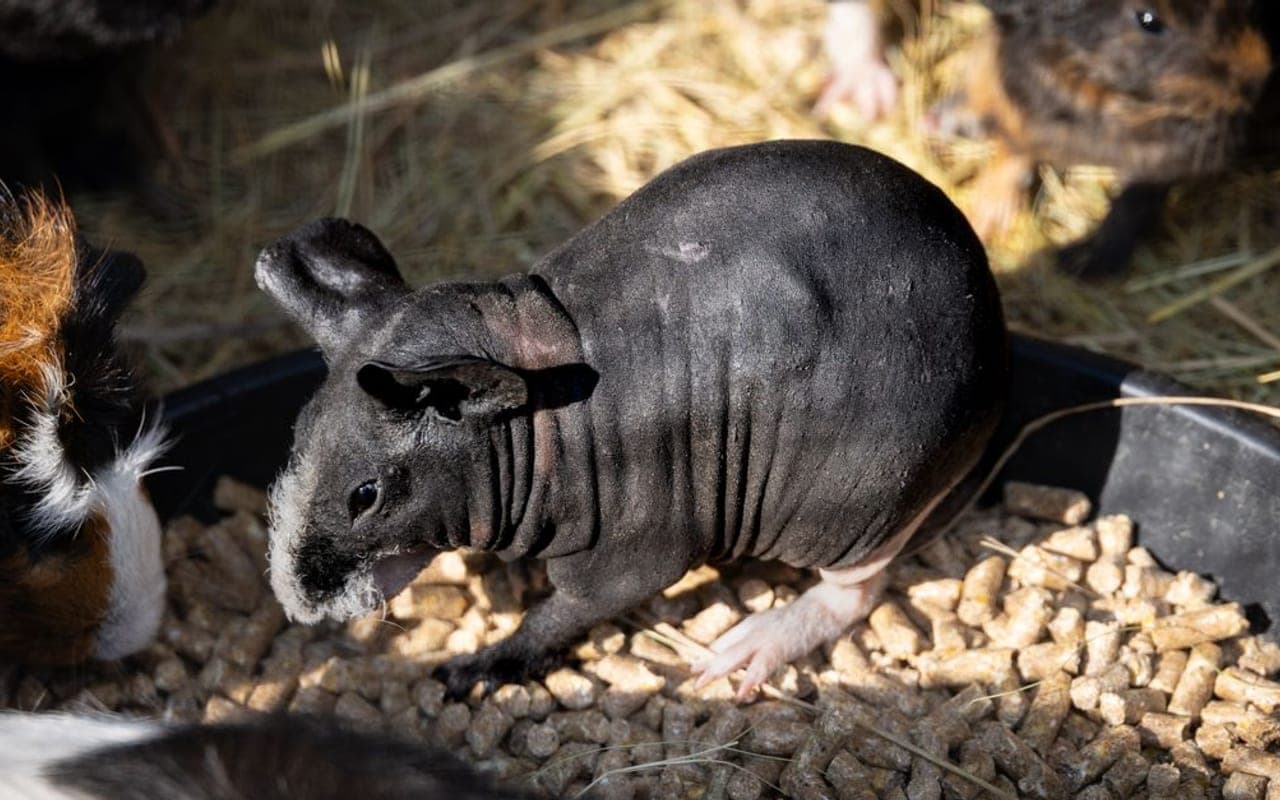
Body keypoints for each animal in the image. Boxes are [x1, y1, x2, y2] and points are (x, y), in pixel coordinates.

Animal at [256, 140, 1008, 700]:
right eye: (294, 444)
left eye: (366, 497)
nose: (295, 603)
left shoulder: (635, 551)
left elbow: (568, 611)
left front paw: (485, 665)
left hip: (853, 506)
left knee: (856, 592)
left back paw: (754, 645)